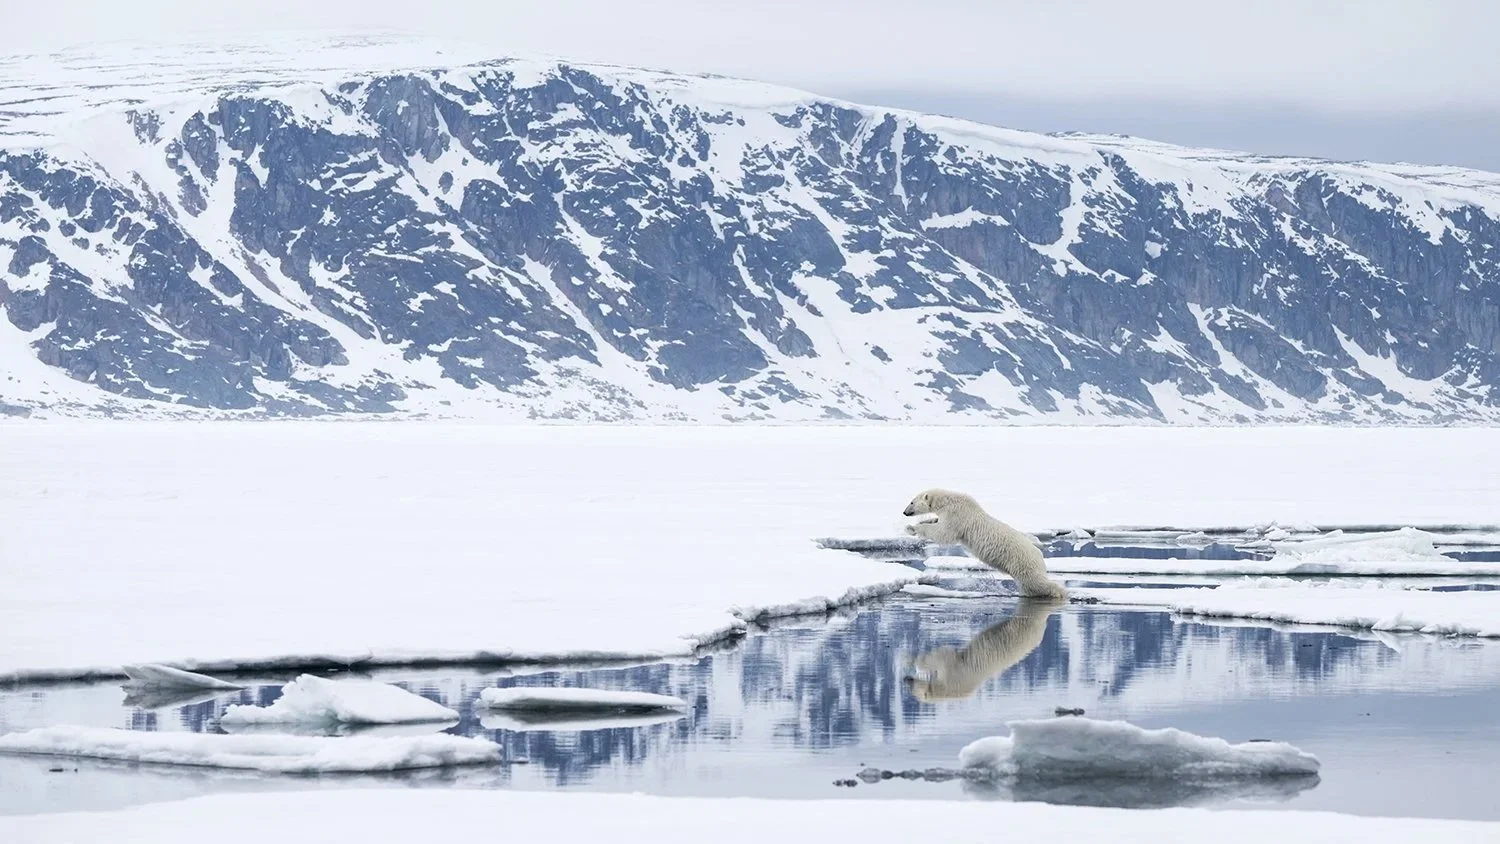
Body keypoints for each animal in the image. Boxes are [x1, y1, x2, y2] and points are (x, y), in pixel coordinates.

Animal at [903, 488, 1067, 600]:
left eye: (911, 502)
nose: (904, 512)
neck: (949, 500)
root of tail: (1039, 555)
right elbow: (936, 522)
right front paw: (917, 524)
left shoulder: (957, 515)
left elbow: (943, 533)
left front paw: (912, 528)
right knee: (1029, 587)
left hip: (1022, 563)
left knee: (1037, 583)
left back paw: (1060, 592)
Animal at [905, 596, 1062, 701]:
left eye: (912, 690)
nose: (907, 680)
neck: (948, 690)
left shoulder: (953, 672)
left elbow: (939, 657)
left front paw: (911, 660)